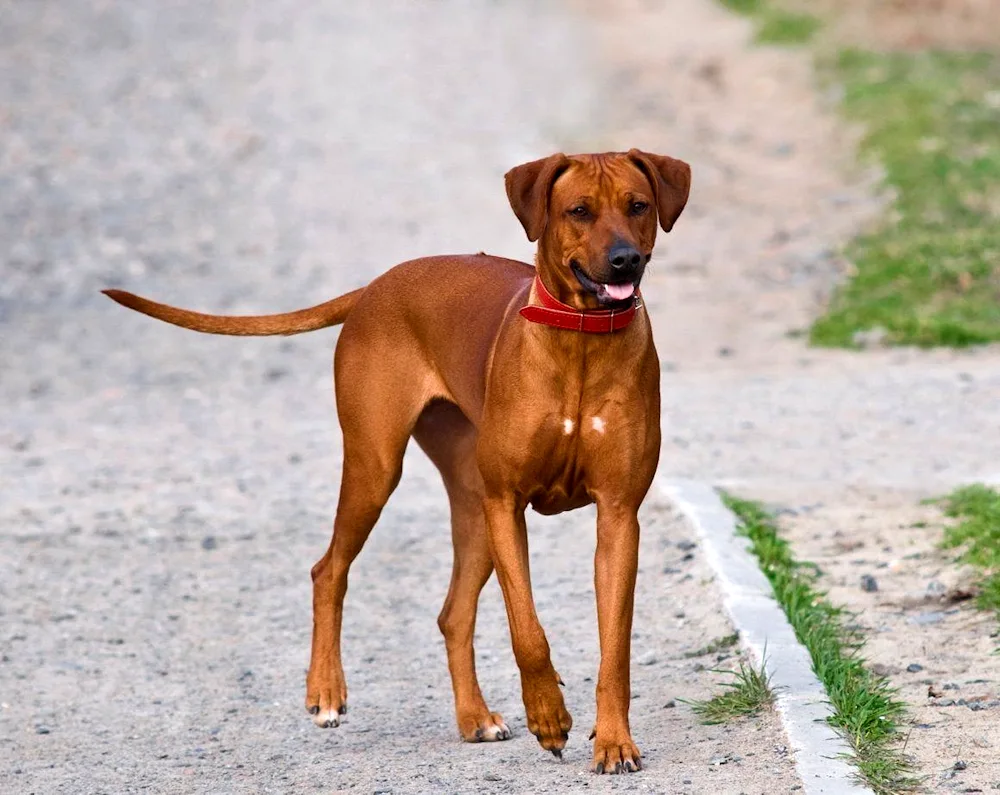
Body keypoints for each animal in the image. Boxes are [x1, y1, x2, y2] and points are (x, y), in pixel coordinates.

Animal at [105, 151, 692, 776]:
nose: (625, 258)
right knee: (328, 570)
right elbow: (528, 633)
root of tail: (376, 286)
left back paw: (474, 717)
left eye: (638, 205)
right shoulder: (507, 503)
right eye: (578, 211)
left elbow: (615, 649)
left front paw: (614, 742)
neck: (579, 342)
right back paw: (326, 692)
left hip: (473, 508)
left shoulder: (617, 515)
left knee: (453, 614)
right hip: (379, 468)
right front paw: (549, 716)